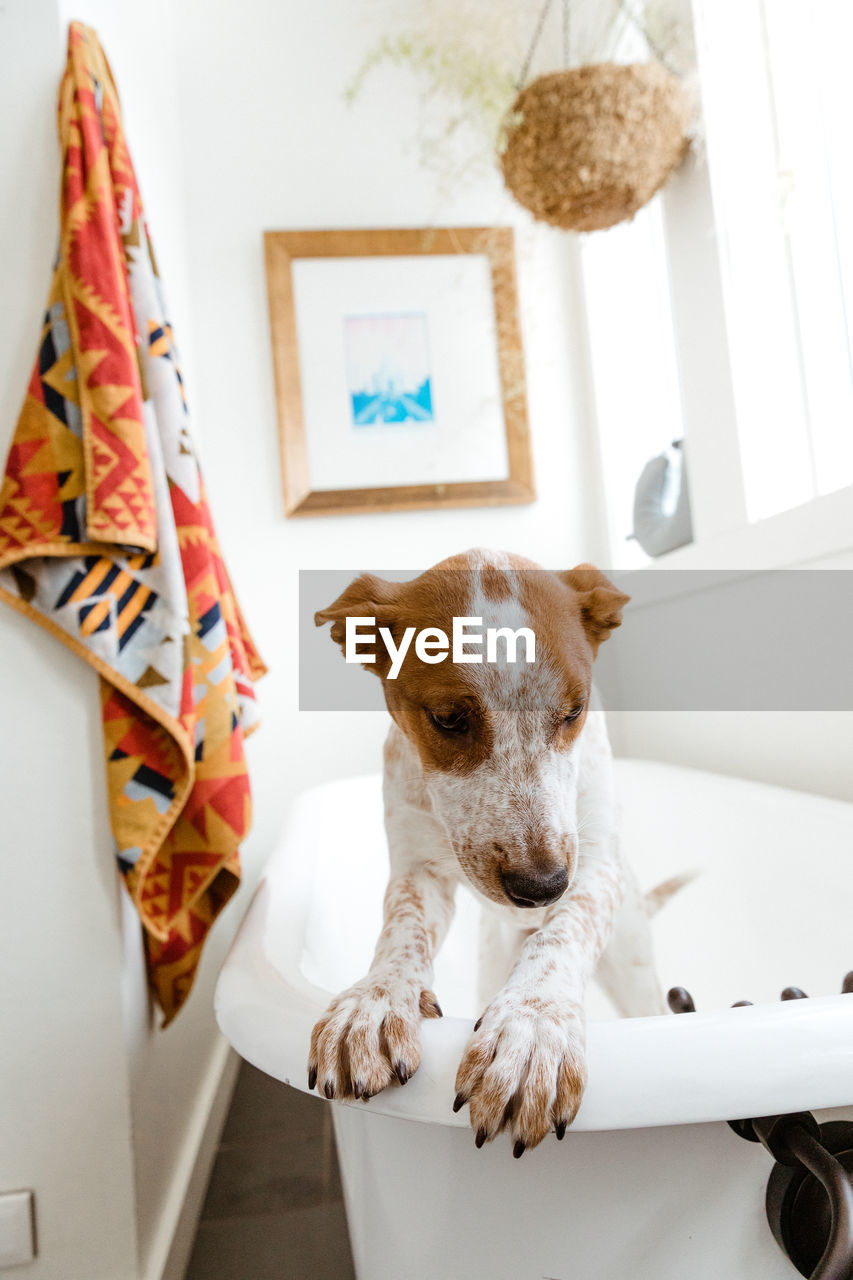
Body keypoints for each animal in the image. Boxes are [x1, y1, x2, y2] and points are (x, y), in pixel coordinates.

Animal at [306, 550, 666, 1162]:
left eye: (574, 712)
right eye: (449, 718)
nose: (541, 889)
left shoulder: (593, 868)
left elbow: (564, 934)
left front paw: (531, 1028)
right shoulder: (418, 870)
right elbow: (401, 930)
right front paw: (374, 1001)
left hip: (636, 969)